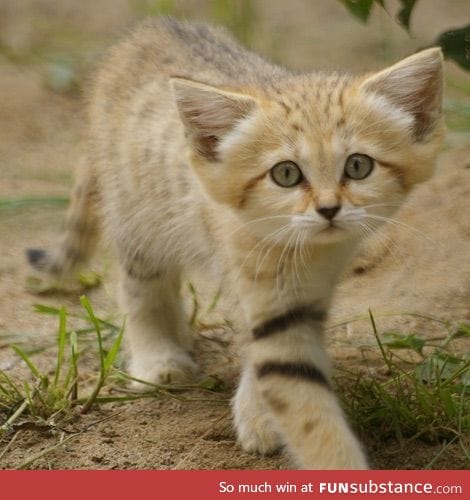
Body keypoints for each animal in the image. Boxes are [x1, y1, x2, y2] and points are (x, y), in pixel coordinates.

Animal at [27, 16, 442, 468]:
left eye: (358, 166)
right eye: (286, 174)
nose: (329, 209)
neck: (304, 251)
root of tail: (147, 31)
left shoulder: (306, 296)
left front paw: (257, 414)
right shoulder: (264, 291)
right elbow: (299, 397)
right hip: (136, 217)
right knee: (142, 288)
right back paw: (159, 357)